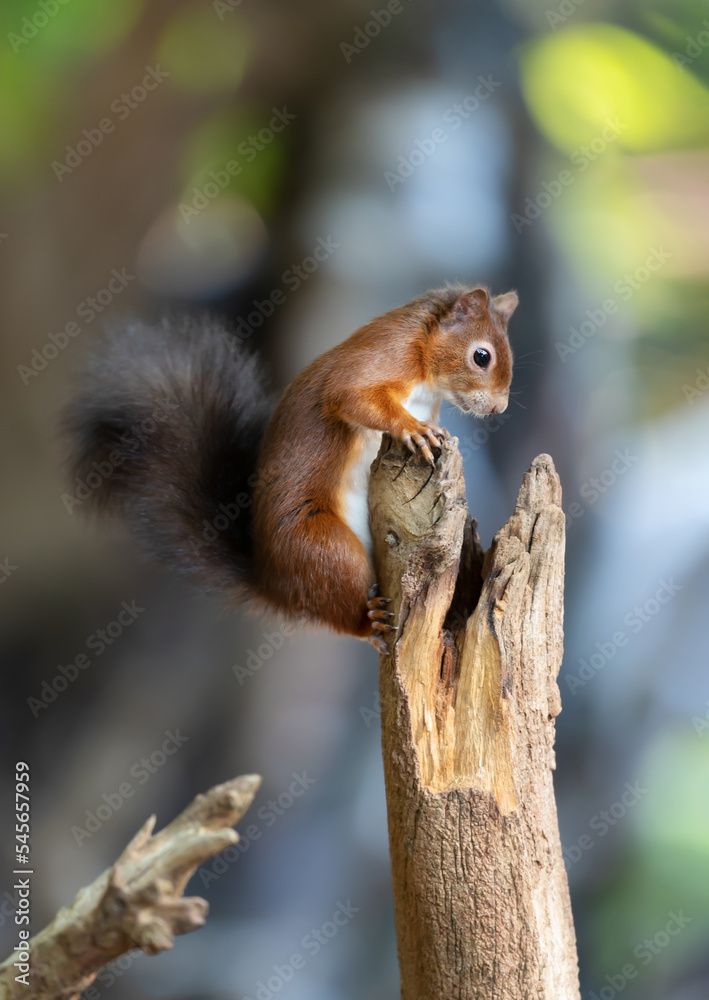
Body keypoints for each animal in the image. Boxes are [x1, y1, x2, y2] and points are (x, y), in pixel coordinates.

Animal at [68, 286, 516, 652]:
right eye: (481, 356)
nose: (500, 409)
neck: (425, 357)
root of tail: (272, 584)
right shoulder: (383, 357)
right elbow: (352, 397)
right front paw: (413, 429)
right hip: (322, 547)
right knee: (343, 608)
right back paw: (367, 621)